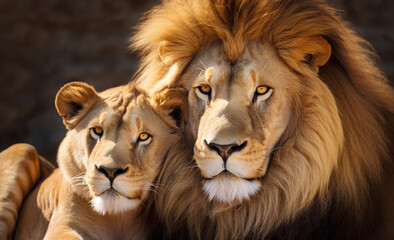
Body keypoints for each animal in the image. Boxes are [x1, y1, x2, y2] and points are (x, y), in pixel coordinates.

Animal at [2, 81, 185, 239]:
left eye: (144, 136)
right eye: (97, 131)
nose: (110, 171)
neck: (117, 219)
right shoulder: (62, 227)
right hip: (23, 149)